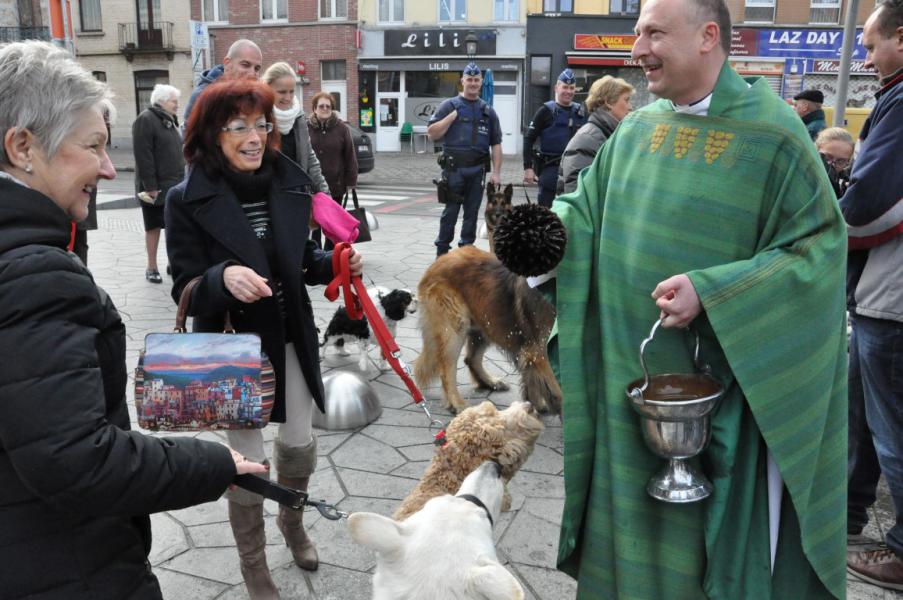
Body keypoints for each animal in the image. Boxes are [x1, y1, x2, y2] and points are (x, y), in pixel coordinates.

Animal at [414, 246, 556, 414]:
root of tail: (439, 261)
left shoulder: (531, 353)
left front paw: (535, 405)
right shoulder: (541, 353)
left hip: (485, 322)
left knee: (471, 359)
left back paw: (490, 382)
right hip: (455, 328)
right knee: (447, 370)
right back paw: (457, 403)